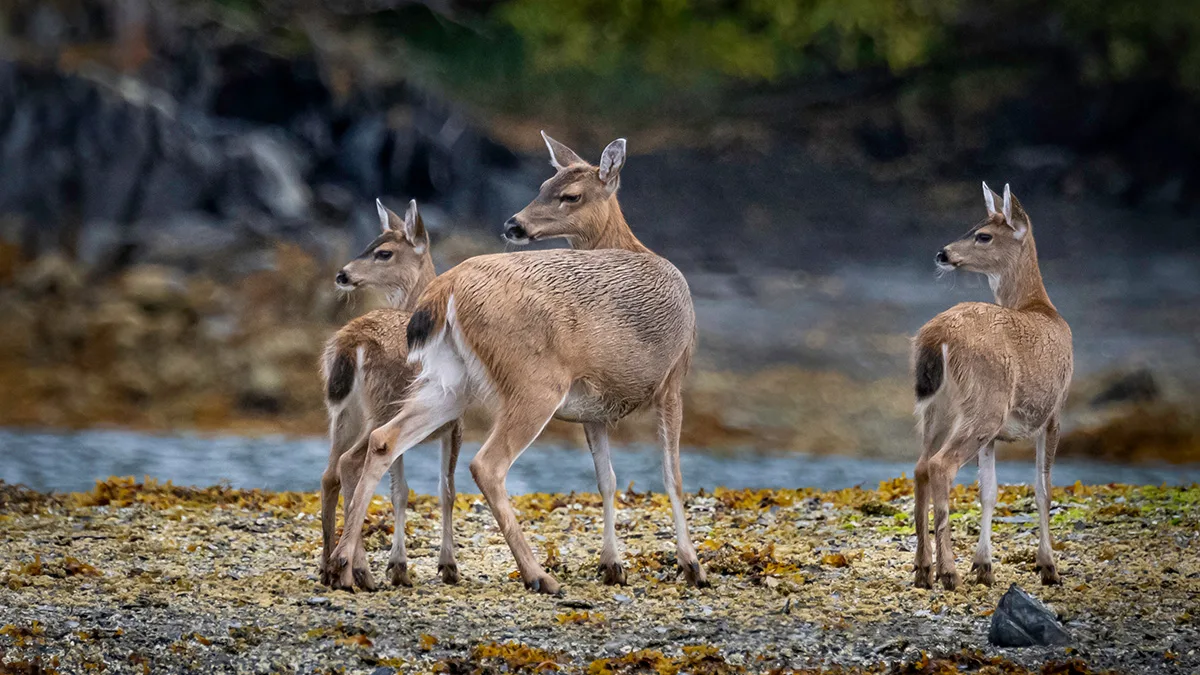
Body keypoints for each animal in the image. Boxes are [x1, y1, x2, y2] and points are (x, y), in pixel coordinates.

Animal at [316, 198, 460, 588]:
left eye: (383, 252)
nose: (342, 274)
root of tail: (350, 342)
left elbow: (401, 490)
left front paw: (399, 566)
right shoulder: (455, 420)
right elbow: (446, 490)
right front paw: (448, 565)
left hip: (341, 412)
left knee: (330, 472)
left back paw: (327, 567)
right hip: (383, 405)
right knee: (349, 463)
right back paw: (355, 570)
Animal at [912, 182, 1075, 588]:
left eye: (982, 234)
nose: (943, 253)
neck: (1040, 307)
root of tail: (937, 334)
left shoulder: (997, 435)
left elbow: (989, 492)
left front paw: (984, 566)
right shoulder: (1054, 411)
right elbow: (1044, 490)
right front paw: (1048, 567)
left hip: (937, 407)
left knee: (920, 466)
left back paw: (923, 570)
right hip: (985, 403)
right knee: (940, 465)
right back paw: (947, 571)